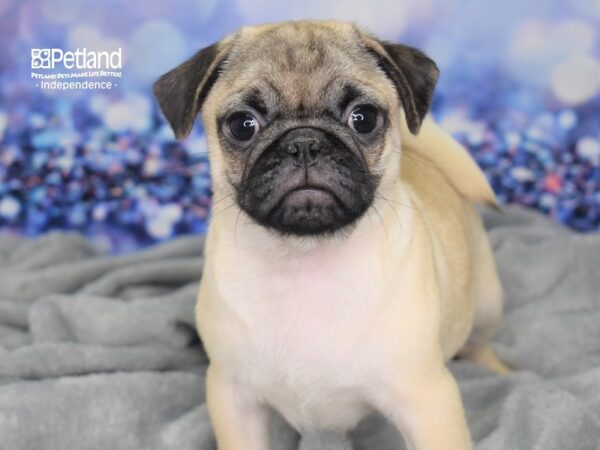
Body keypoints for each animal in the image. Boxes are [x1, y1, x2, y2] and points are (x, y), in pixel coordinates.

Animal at [152, 19, 508, 448]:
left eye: (363, 118)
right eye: (243, 125)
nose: (304, 142)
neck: (305, 260)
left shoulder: (426, 402)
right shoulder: (234, 398)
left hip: (486, 301)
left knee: (480, 343)